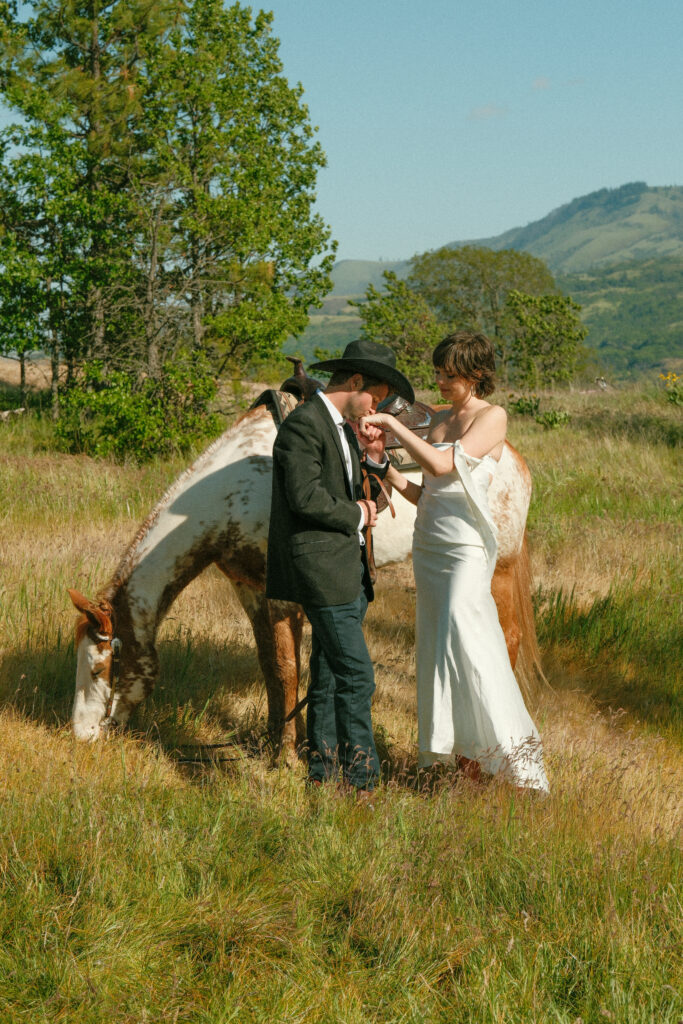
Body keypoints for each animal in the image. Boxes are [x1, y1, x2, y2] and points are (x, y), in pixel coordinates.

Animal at [68, 399, 538, 761]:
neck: (233, 492)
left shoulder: (282, 597)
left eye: (98, 668)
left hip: (499, 567)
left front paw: (287, 756)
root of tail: (514, 456)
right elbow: (271, 668)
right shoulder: (250, 589)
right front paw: (275, 742)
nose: (80, 736)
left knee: (507, 636)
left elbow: (287, 668)